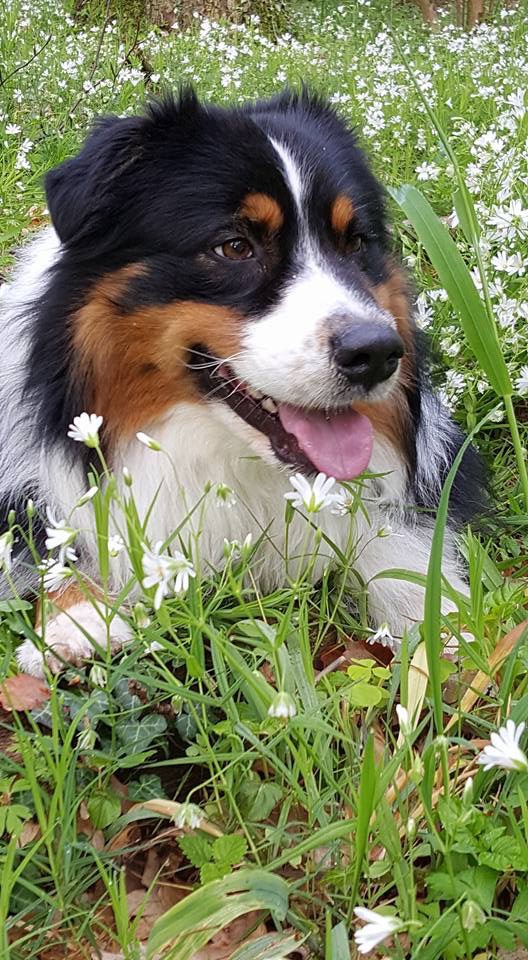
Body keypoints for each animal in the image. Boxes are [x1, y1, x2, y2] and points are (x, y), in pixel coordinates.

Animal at [0, 89, 485, 677]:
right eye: (233, 247)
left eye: (356, 242)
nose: (375, 354)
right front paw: (78, 615)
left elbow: (398, 546)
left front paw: (449, 631)